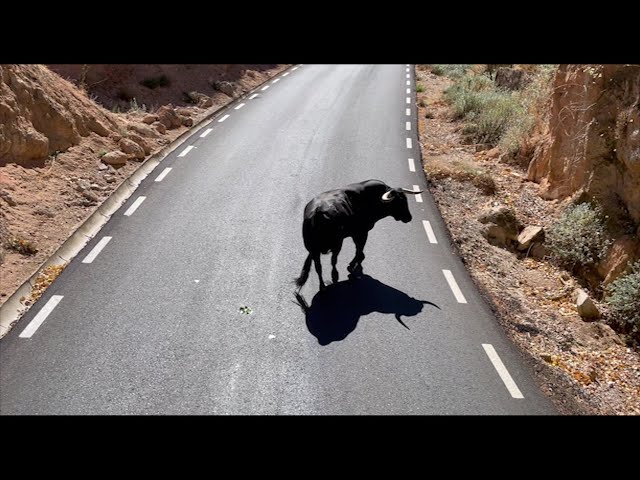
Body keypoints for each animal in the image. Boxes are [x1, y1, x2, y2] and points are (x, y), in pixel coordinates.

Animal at [296, 180, 424, 290]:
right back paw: (334, 277)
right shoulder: (361, 233)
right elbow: (359, 249)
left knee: (319, 267)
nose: (409, 217)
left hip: (314, 249)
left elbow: (359, 249)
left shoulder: (356, 234)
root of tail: (317, 212)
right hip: (337, 244)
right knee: (332, 261)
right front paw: (353, 264)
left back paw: (322, 286)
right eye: (399, 202)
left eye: (405, 199)